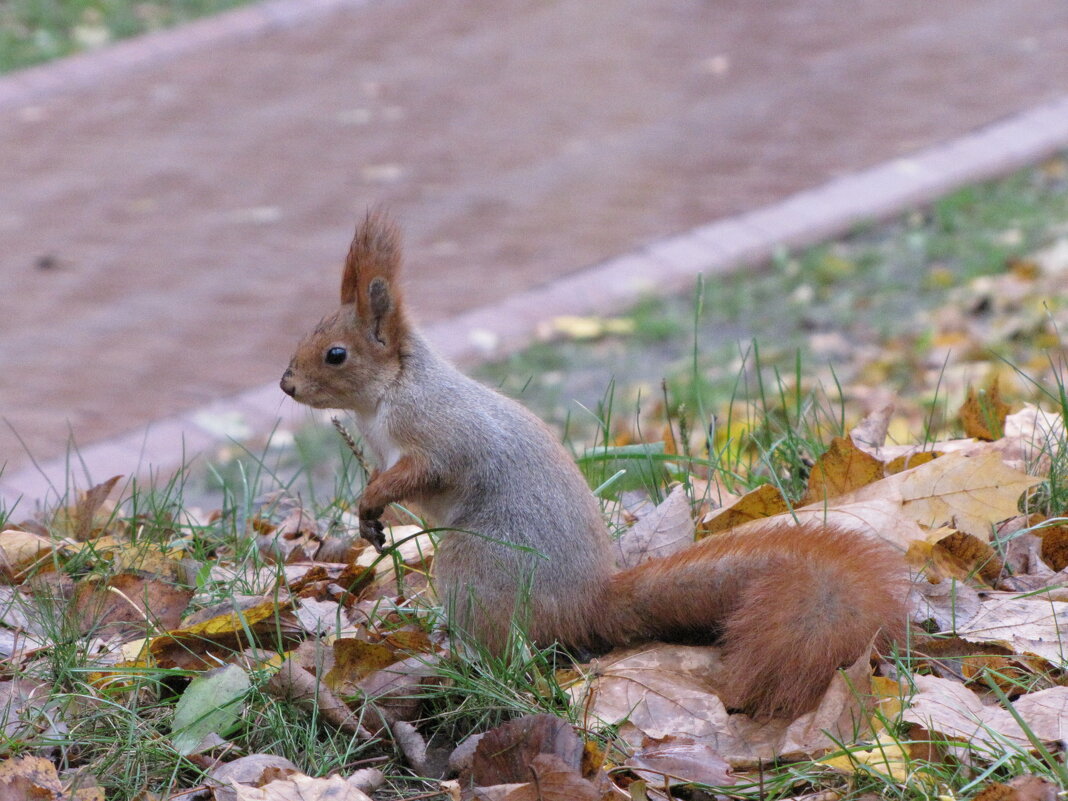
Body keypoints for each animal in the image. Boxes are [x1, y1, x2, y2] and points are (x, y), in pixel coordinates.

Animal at [279, 210, 905, 717]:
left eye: (336, 354)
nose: (286, 385)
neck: (386, 395)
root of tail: (586, 607)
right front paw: (367, 518)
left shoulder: (441, 434)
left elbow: (422, 472)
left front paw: (372, 499)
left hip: (474, 570)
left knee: (509, 646)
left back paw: (455, 660)